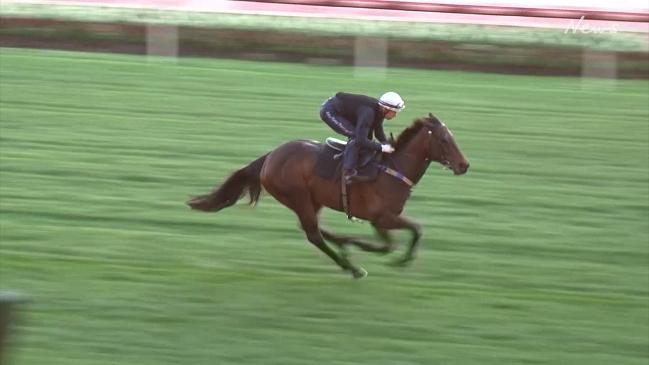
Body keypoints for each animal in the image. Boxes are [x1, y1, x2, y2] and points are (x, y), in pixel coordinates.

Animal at [185, 112, 468, 278]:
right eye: (444, 140)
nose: (464, 165)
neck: (392, 170)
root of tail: (270, 156)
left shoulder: (381, 220)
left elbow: (405, 236)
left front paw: (372, 249)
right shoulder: (381, 218)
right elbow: (405, 236)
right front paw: (394, 258)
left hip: (313, 199)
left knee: (313, 229)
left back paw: (344, 245)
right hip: (297, 196)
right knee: (313, 234)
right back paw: (352, 267)